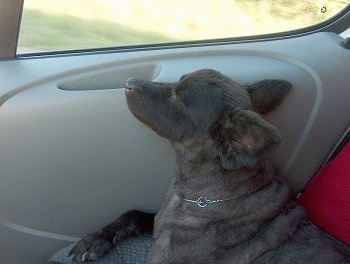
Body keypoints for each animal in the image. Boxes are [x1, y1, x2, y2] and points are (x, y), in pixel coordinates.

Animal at [68, 69, 348, 262]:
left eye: (180, 99)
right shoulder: (156, 220)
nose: (129, 82)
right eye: (178, 82)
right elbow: (133, 213)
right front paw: (95, 240)